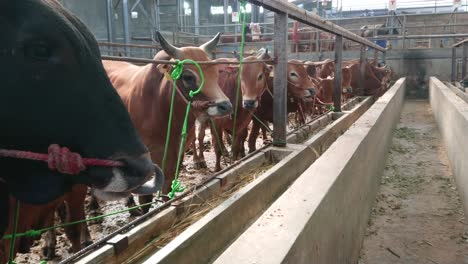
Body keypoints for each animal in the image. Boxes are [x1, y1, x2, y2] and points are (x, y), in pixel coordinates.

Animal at [103, 31, 232, 210]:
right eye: (188, 76)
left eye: (215, 72)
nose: (225, 106)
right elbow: (145, 199)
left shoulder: (175, 157)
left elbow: (166, 190)